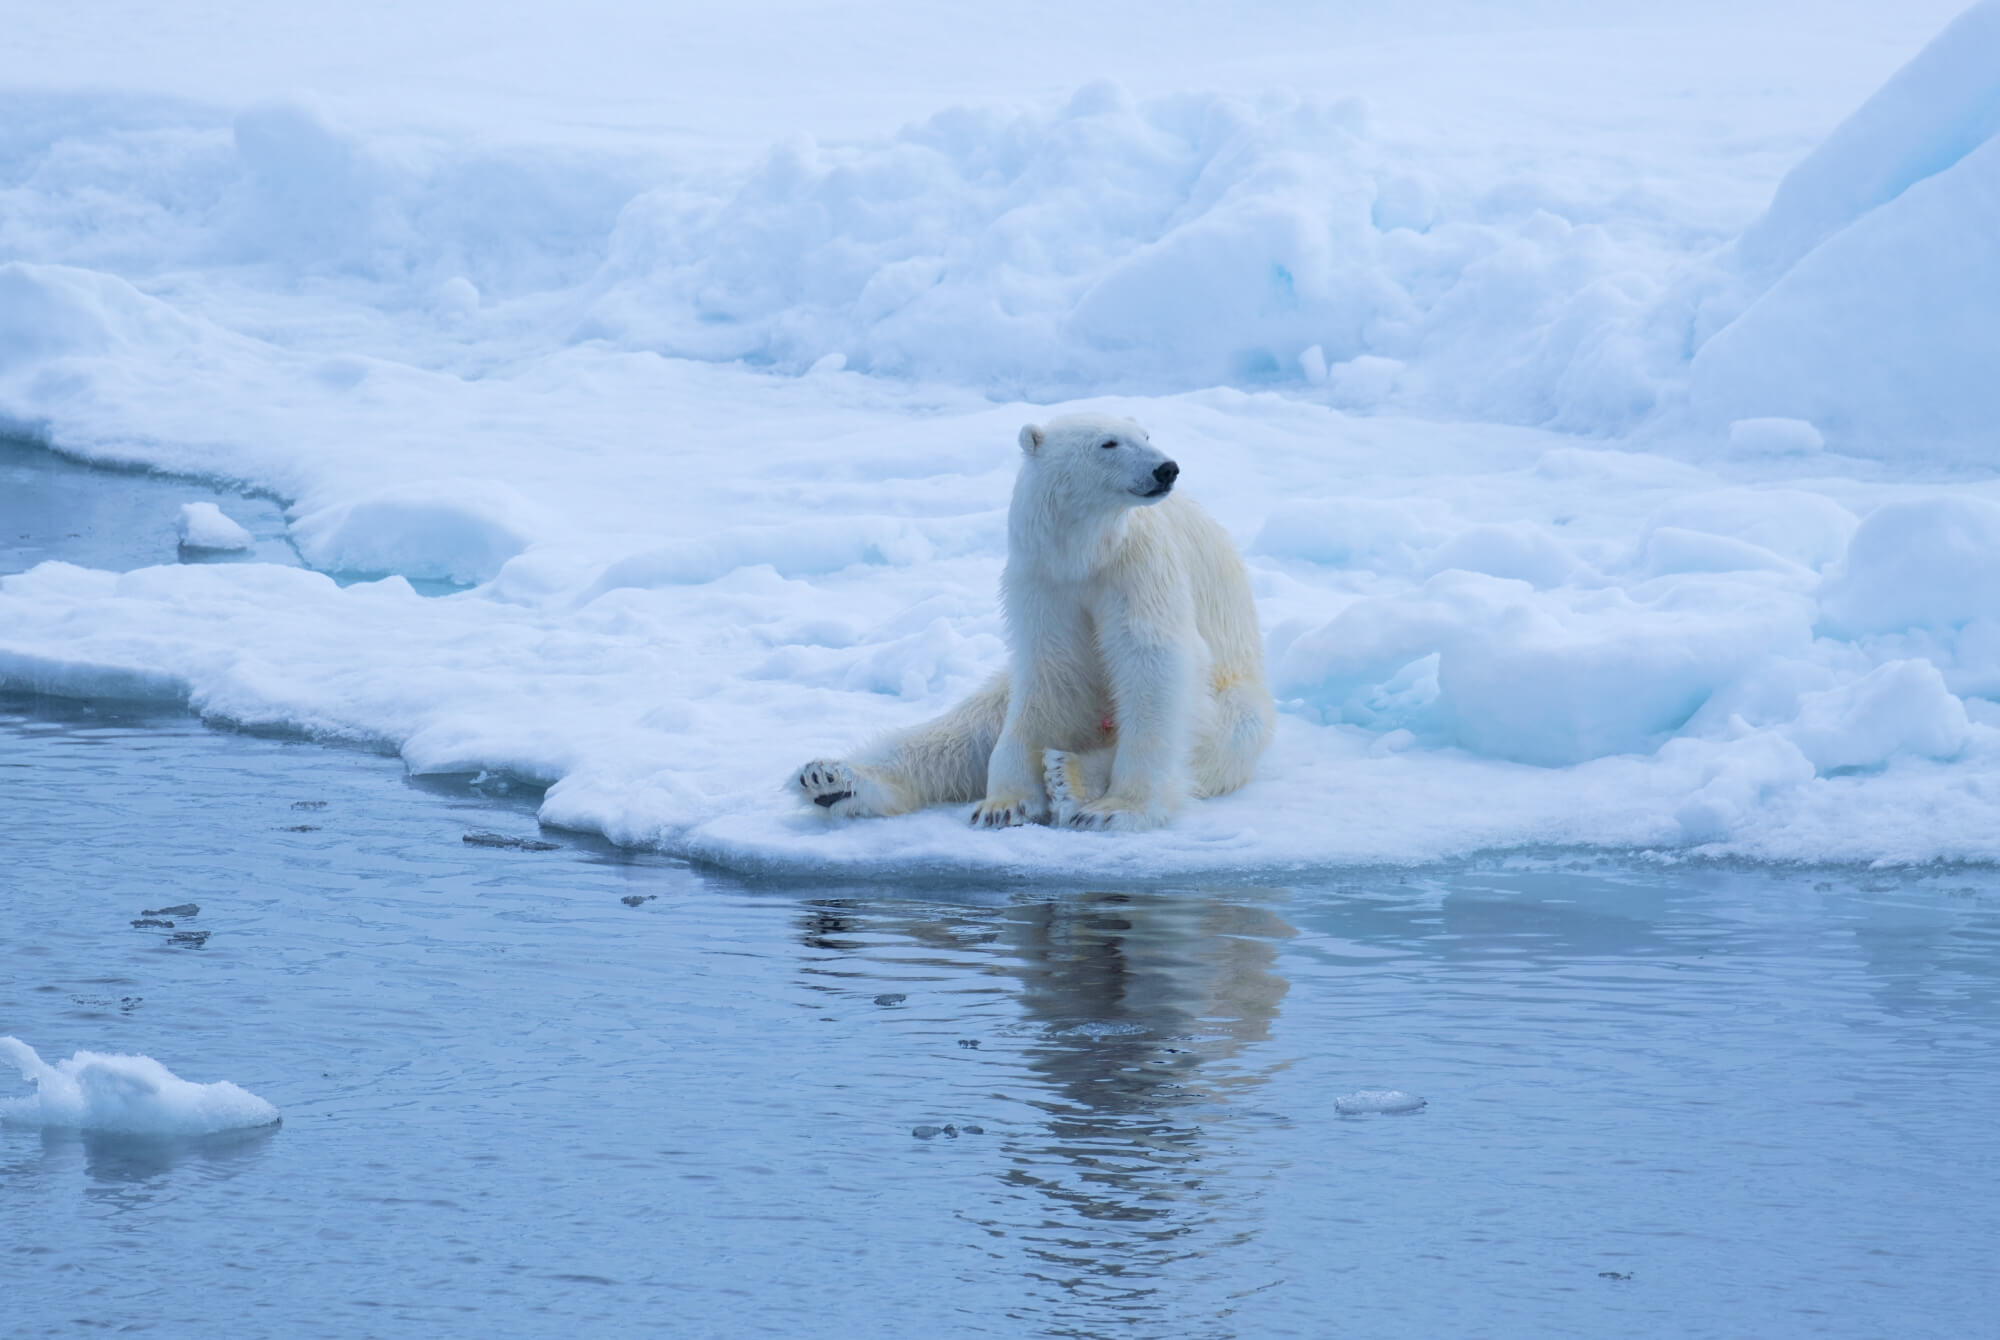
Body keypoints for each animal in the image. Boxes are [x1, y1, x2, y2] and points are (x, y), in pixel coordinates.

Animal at [788, 412, 1272, 828]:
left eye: (1147, 436)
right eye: (1108, 443)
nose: (1165, 469)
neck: (1086, 552)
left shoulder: (1139, 567)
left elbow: (1152, 660)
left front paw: (1117, 808)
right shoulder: (1043, 580)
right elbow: (1052, 674)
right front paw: (1004, 804)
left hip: (1240, 698)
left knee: (1220, 737)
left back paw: (1070, 774)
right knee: (961, 731)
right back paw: (830, 780)